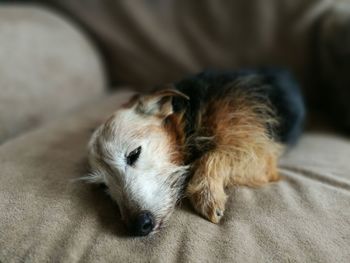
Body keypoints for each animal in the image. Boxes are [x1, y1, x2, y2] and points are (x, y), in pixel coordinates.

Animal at [85, 68, 304, 237]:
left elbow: (212, 156)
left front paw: (207, 194)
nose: (138, 226)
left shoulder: (258, 152)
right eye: (103, 186)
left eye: (133, 154)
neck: (188, 119)